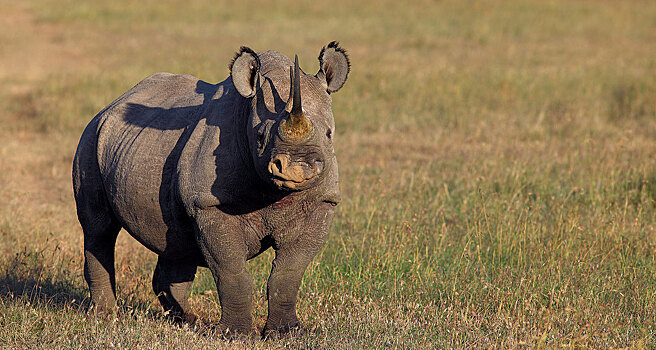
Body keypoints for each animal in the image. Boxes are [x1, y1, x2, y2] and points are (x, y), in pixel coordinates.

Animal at [71, 42, 348, 338]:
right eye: (260, 137)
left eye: (329, 134)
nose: (296, 169)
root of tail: (111, 105)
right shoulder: (209, 203)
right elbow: (232, 272)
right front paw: (236, 336)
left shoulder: (322, 202)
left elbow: (289, 273)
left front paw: (287, 333)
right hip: (91, 138)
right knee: (99, 228)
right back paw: (105, 317)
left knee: (176, 240)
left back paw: (185, 321)